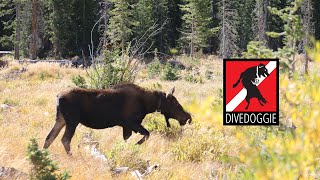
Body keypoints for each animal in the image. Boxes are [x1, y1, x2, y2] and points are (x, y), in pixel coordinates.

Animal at [43, 83, 191, 155]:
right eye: (176, 103)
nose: (188, 117)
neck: (148, 104)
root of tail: (58, 96)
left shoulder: (126, 126)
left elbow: (127, 139)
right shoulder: (131, 122)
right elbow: (147, 134)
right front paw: (135, 145)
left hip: (61, 119)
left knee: (49, 137)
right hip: (72, 121)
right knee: (65, 140)